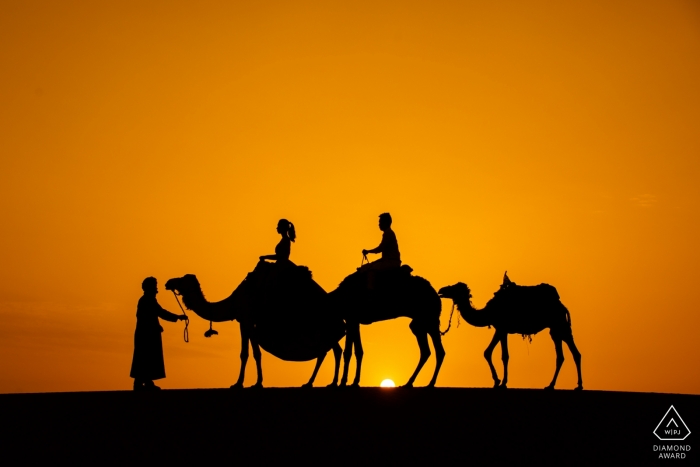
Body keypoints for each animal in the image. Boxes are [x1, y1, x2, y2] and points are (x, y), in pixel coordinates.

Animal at [165, 264, 344, 388]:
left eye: (181, 279)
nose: (168, 282)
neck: (233, 302)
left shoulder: (247, 320)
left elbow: (253, 353)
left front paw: (250, 383)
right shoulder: (245, 322)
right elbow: (248, 353)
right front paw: (244, 383)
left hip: (324, 324)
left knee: (327, 350)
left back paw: (316, 383)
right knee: (334, 350)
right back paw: (325, 383)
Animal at [440, 278, 584, 392]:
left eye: (455, 288)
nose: (441, 290)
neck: (488, 312)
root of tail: (562, 306)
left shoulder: (501, 328)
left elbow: (502, 355)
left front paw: (501, 383)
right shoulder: (501, 329)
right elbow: (490, 353)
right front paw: (498, 382)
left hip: (559, 323)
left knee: (573, 353)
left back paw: (578, 385)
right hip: (555, 328)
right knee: (562, 355)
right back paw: (552, 385)